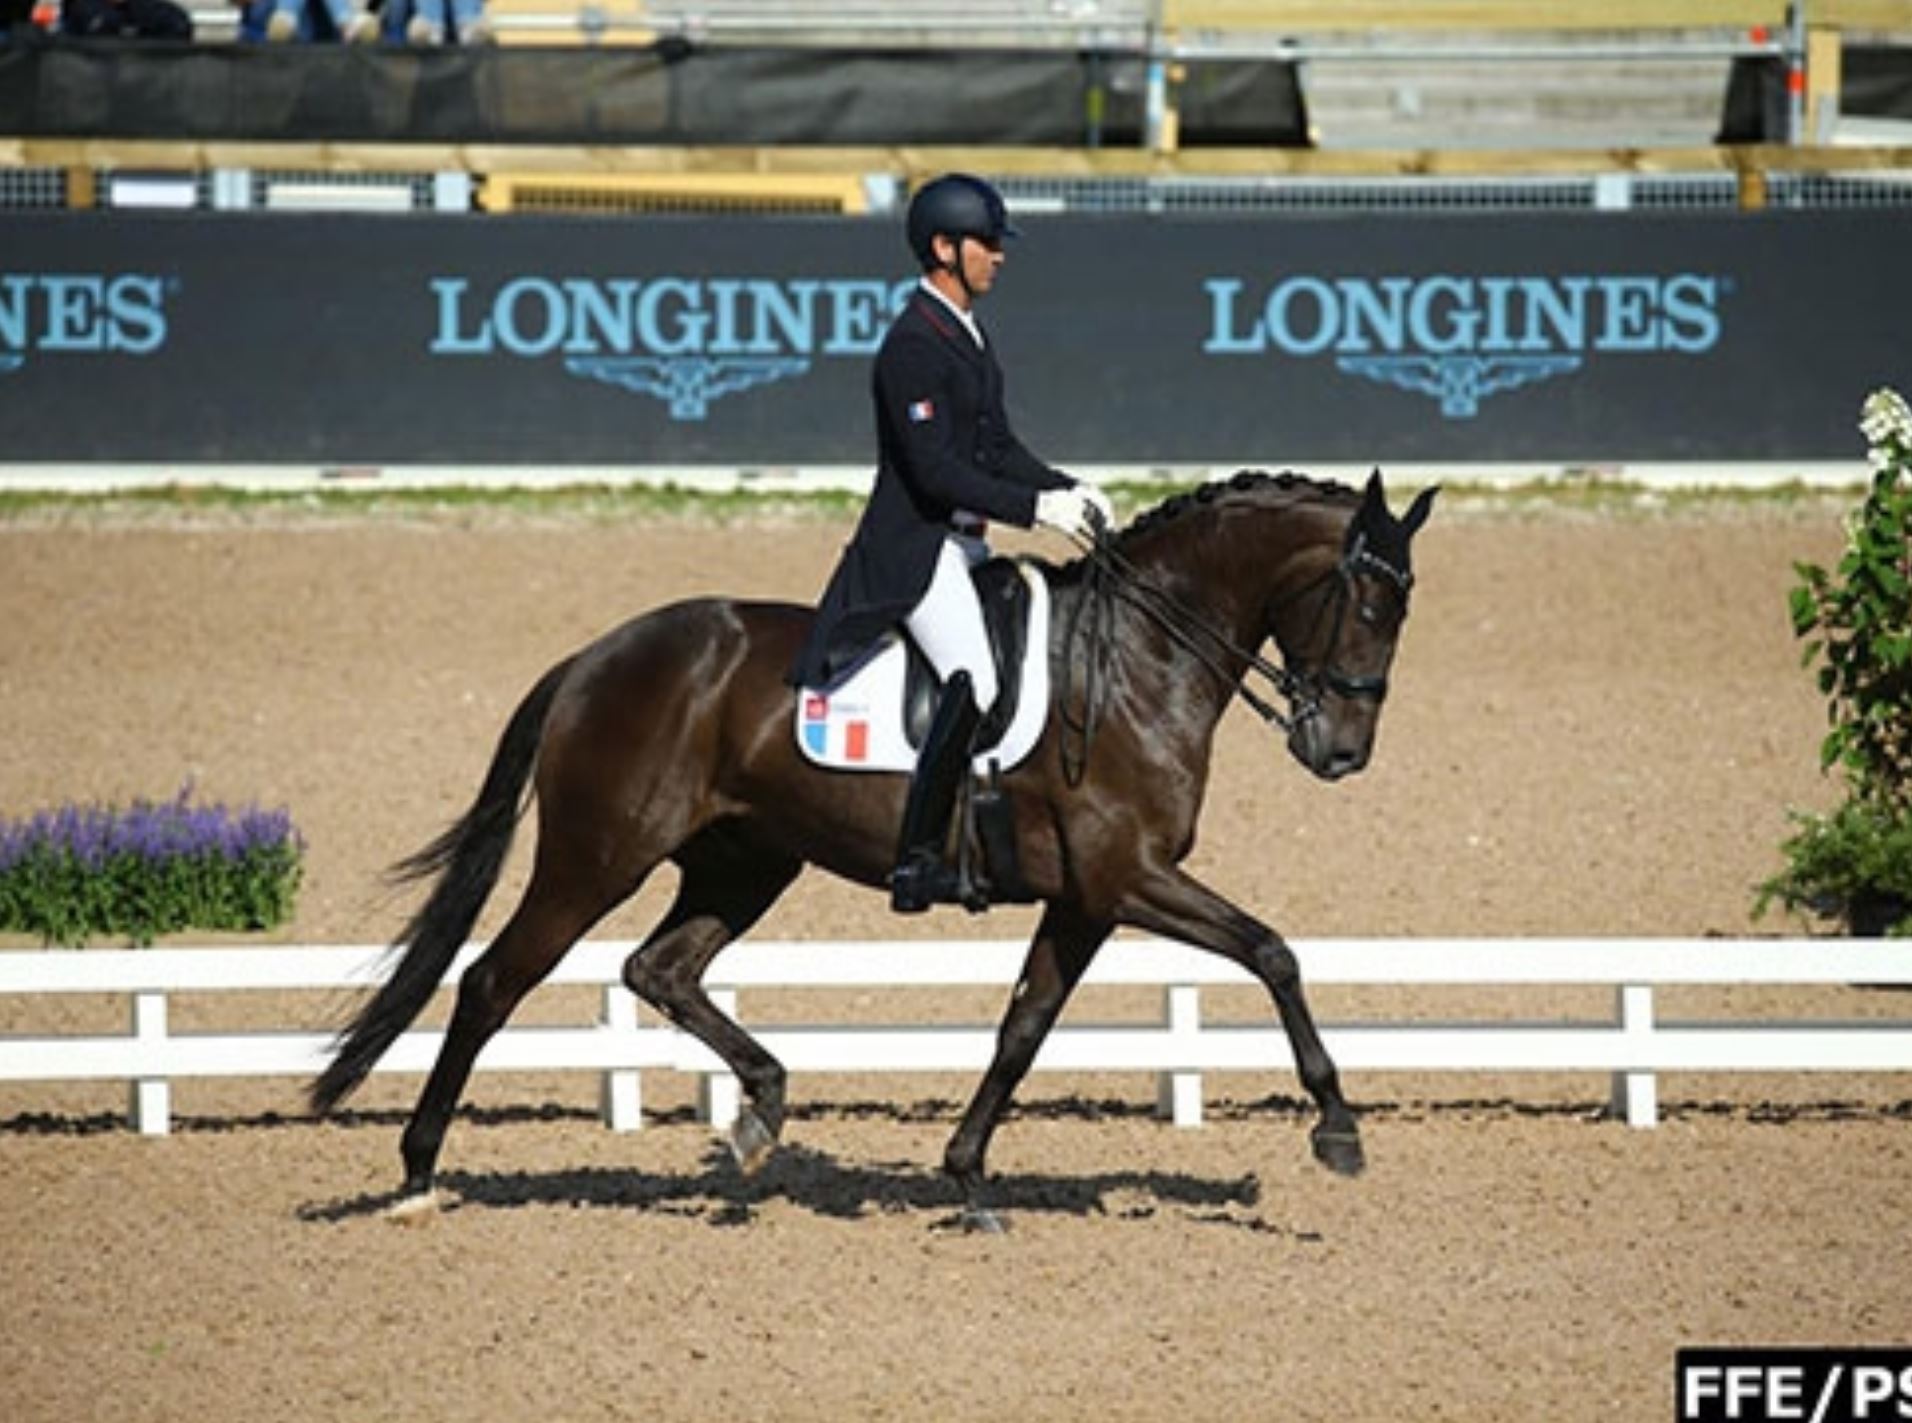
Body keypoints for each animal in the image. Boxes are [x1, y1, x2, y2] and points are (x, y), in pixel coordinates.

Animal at [309, 472, 1437, 1231]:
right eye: (1368, 602)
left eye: (1403, 608)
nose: (1340, 751)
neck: (1137, 659)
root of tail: (594, 656)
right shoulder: (1130, 877)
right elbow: (1273, 950)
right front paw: (1337, 1126)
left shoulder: (1086, 898)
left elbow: (1023, 1027)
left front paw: (969, 1176)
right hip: (598, 857)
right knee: (491, 981)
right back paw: (417, 1172)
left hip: (744, 862)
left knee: (657, 967)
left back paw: (759, 1111)